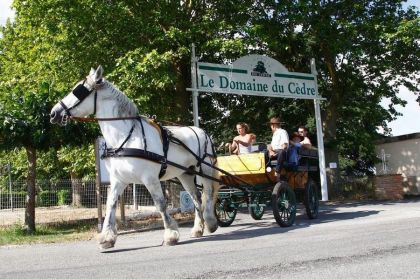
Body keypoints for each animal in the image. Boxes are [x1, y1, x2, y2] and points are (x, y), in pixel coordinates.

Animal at [50, 66, 220, 249]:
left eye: (79, 91)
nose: (53, 113)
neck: (126, 137)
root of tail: (202, 131)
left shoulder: (150, 178)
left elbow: (160, 203)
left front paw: (170, 234)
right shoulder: (118, 179)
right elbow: (111, 204)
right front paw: (107, 238)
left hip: (205, 169)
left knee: (208, 193)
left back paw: (211, 222)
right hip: (185, 174)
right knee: (196, 198)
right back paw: (198, 229)